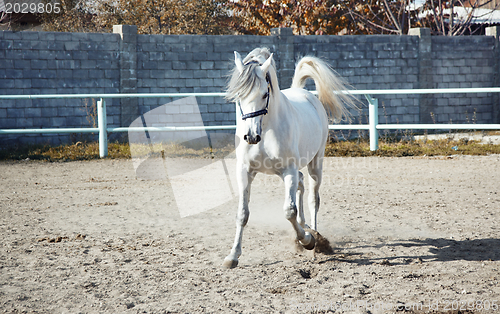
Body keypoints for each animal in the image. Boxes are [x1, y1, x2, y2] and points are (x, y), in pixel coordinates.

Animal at [223, 47, 356, 268]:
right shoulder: (245, 171)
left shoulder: (288, 171)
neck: (267, 128)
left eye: (265, 93)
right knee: (301, 185)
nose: (251, 136)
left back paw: (315, 237)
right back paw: (305, 227)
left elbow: (289, 211)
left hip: (315, 164)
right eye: (239, 95)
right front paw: (233, 256)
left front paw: (308, 240)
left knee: (313, 198)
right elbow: (243, 213)